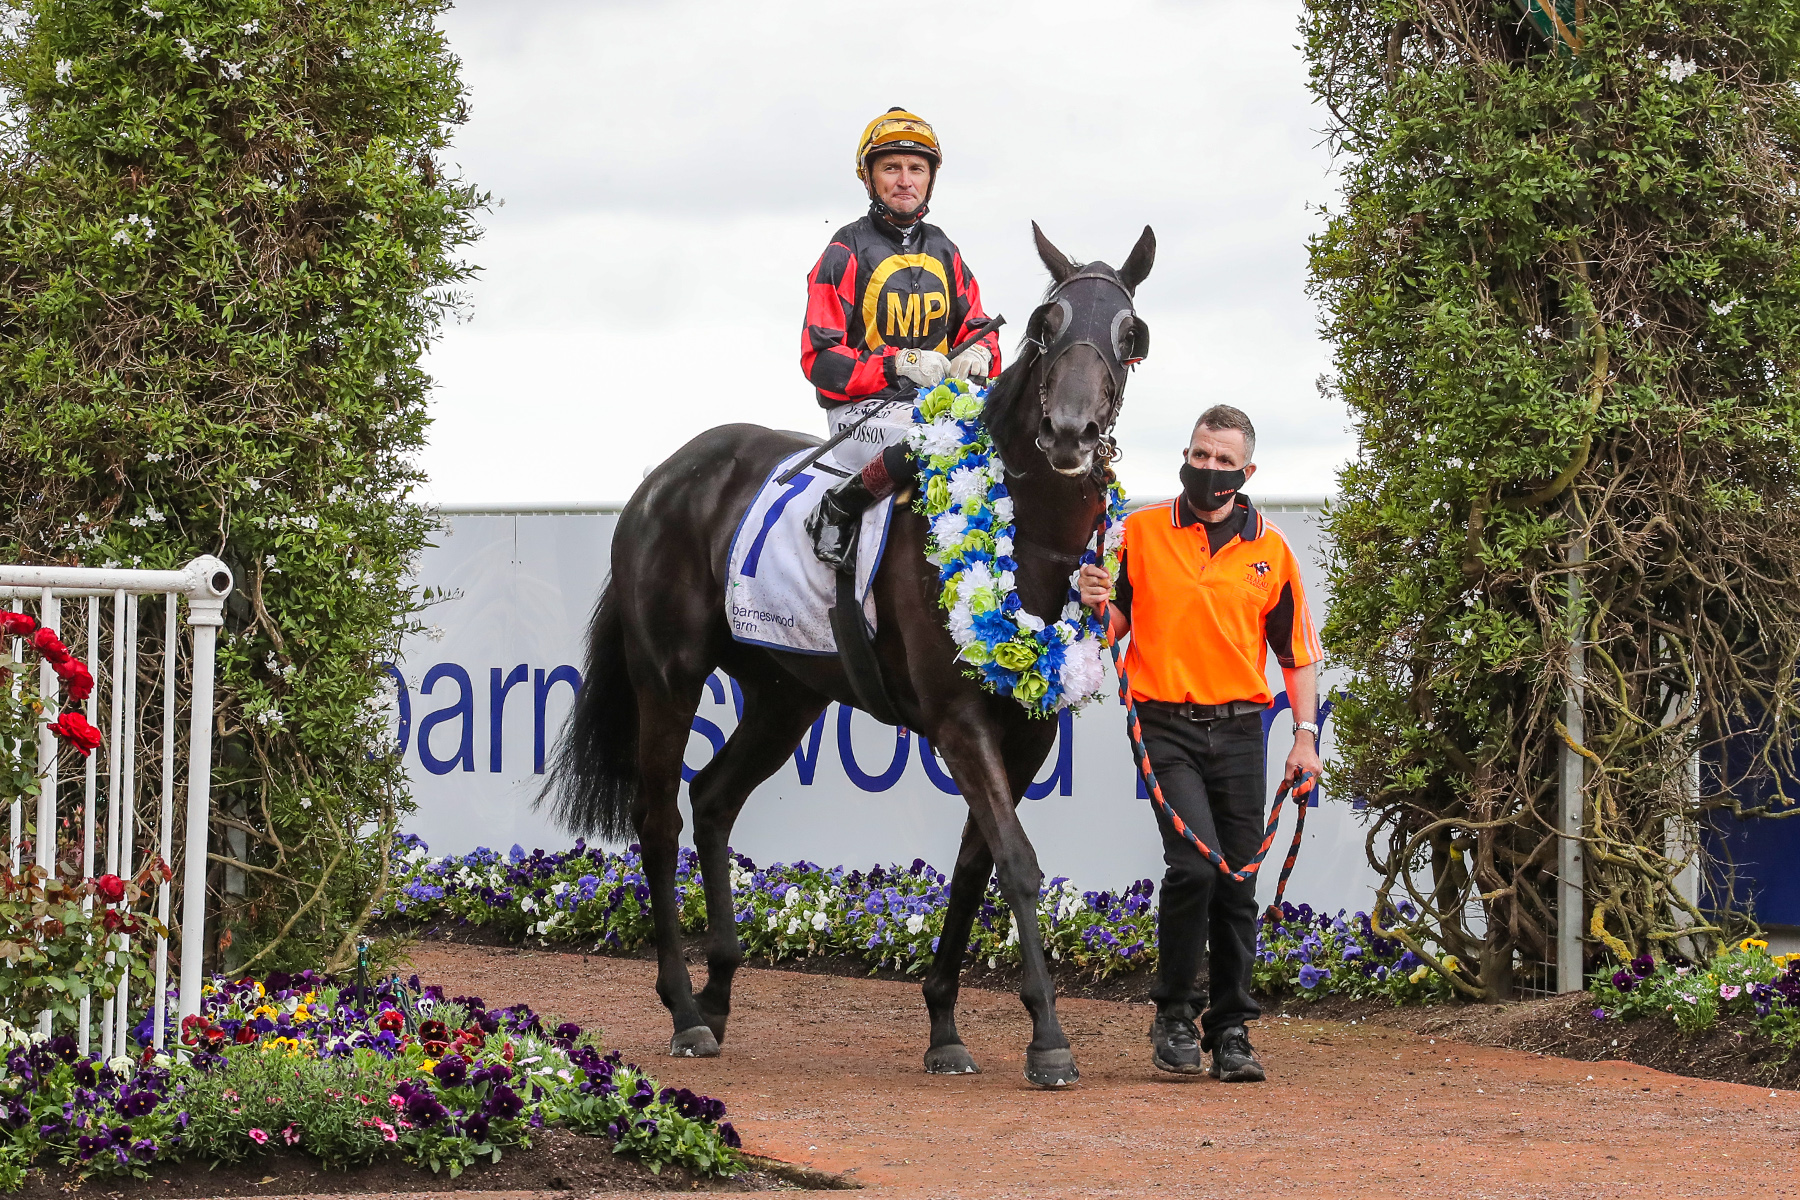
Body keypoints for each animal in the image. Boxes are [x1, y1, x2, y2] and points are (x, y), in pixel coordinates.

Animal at [543, 223, 1155, 1088]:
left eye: (1129, 334)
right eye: (1047, 322)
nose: (1070, 434)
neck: (1028, 535)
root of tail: (662, 479)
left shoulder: (1028, 731)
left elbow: (976, 863)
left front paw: (944, 1024)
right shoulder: (959, 719)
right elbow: (1016, 861)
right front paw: (1047, 1037)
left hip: (786, 694)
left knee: (715, 798)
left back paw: (720, 988)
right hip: (669, 674)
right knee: (658, 818)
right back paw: (686, 1011)